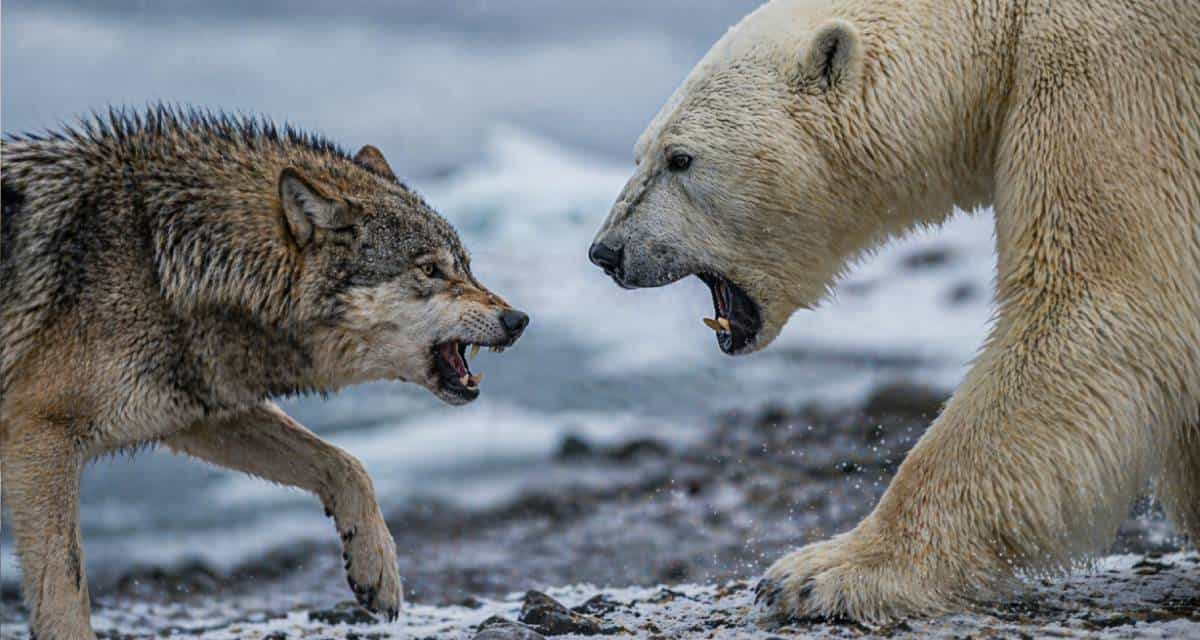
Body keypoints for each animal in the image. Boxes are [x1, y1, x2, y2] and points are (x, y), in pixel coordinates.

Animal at [0, 106, 529, 638]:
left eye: (465, 266)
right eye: (429, 270)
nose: (518, 320)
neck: (158, 257)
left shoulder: (197, 410)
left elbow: (347, 463)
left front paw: (376, 568)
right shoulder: (38, 439)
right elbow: (66, 592)